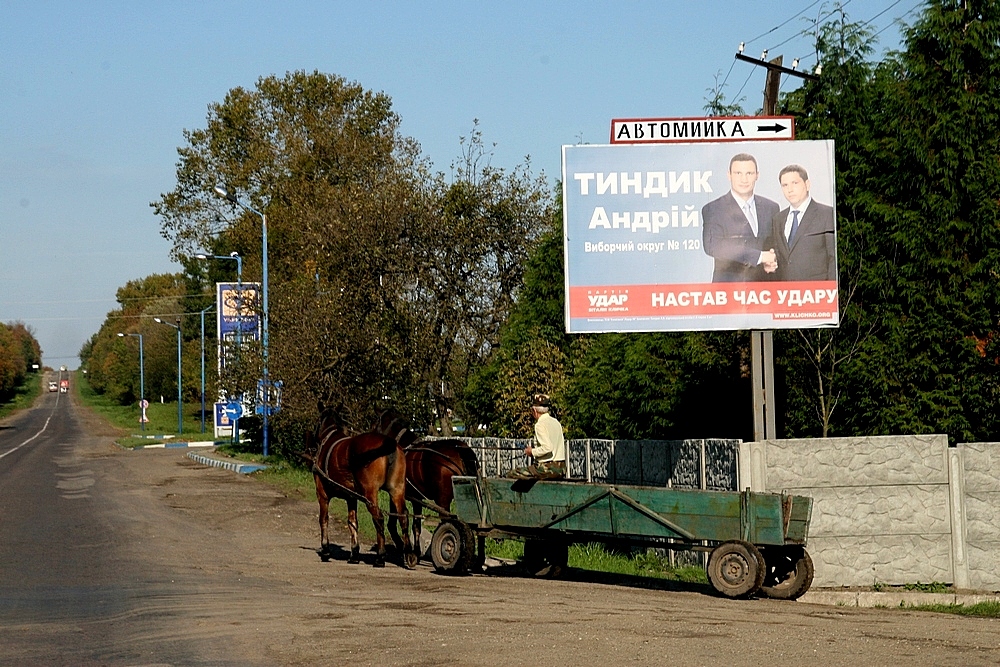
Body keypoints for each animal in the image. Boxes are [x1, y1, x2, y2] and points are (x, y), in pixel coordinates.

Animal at [304, 414, 414, 568]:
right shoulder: (351, 497)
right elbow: (352, 522)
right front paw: (354, 554)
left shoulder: (322, 494)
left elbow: (324, 519)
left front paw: (325, 551)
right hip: (397, 489)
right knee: (403, 516)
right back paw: (409, 554)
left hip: (370, 494)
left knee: (379, 518)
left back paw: (380, 557)